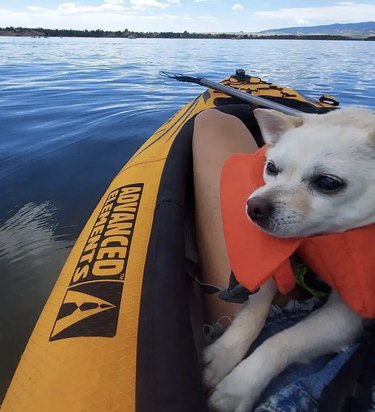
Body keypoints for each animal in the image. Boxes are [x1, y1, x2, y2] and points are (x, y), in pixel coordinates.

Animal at [206, 107, 375, 412]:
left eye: (328, 183)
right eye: (271, 167)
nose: (254, 206)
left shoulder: (348, 317)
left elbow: (282, 340)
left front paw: (239, 386)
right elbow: (253, 312)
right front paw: (223, 354)